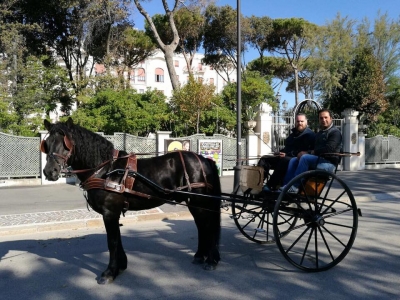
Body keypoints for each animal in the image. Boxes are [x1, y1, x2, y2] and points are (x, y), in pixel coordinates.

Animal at [41, 117, 222, 284]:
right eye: (47, 143)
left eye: (66, 143)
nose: (50, 171)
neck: (105, 170)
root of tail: (204, 159)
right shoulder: (113, 213)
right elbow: (117, 240)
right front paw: (121, 267)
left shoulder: (109, 213)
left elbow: (112, 242)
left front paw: (109, 272)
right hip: (194, 203)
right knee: (201, 226)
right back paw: (200, 256)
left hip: (200, 202)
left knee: (209, 227)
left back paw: (211, 260)